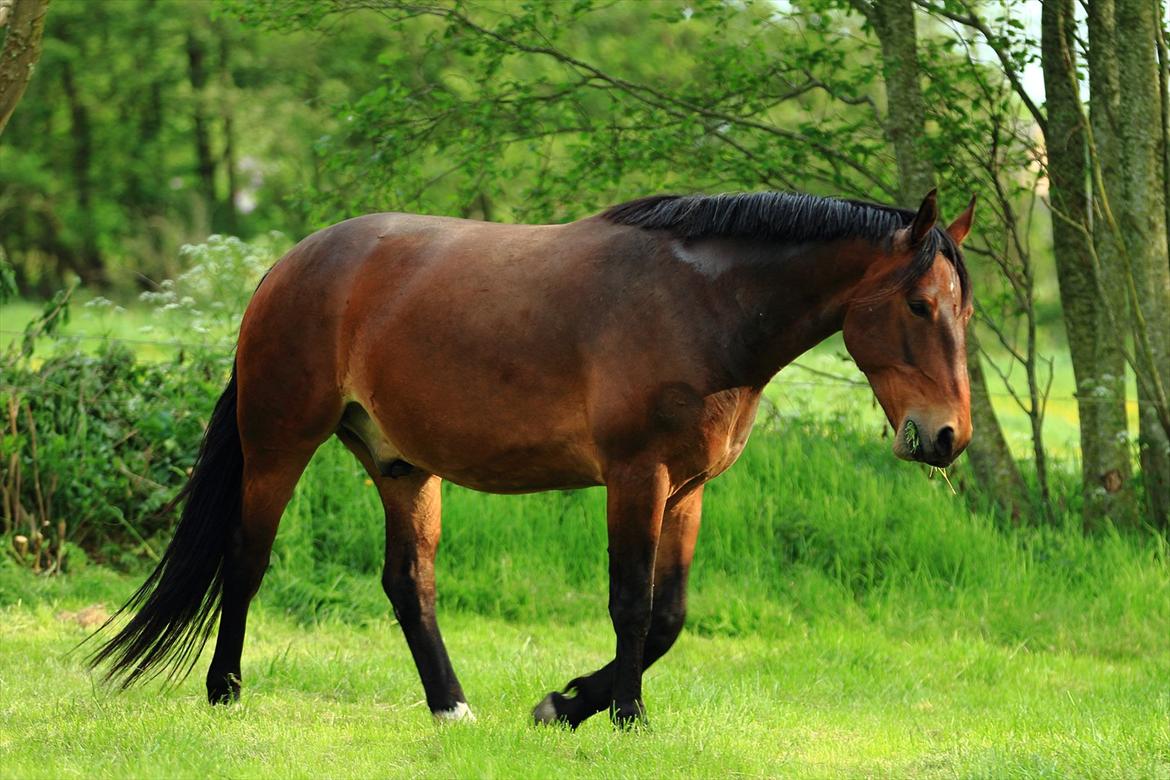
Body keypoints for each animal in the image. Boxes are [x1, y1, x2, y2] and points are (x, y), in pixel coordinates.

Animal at [91, 189, 973, 734]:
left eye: (965, 312)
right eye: (918, 304)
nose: (947, 437)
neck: (699, 305)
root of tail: (284, 269)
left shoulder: (687, 491)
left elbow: (670, 616)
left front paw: (568, 703)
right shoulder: (636, 479)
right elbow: (632, 606)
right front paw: (622, 717)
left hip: (403, 467)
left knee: (409, 583)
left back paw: (450, 708)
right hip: (280, 442)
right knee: (246, 559)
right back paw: (224, 691)